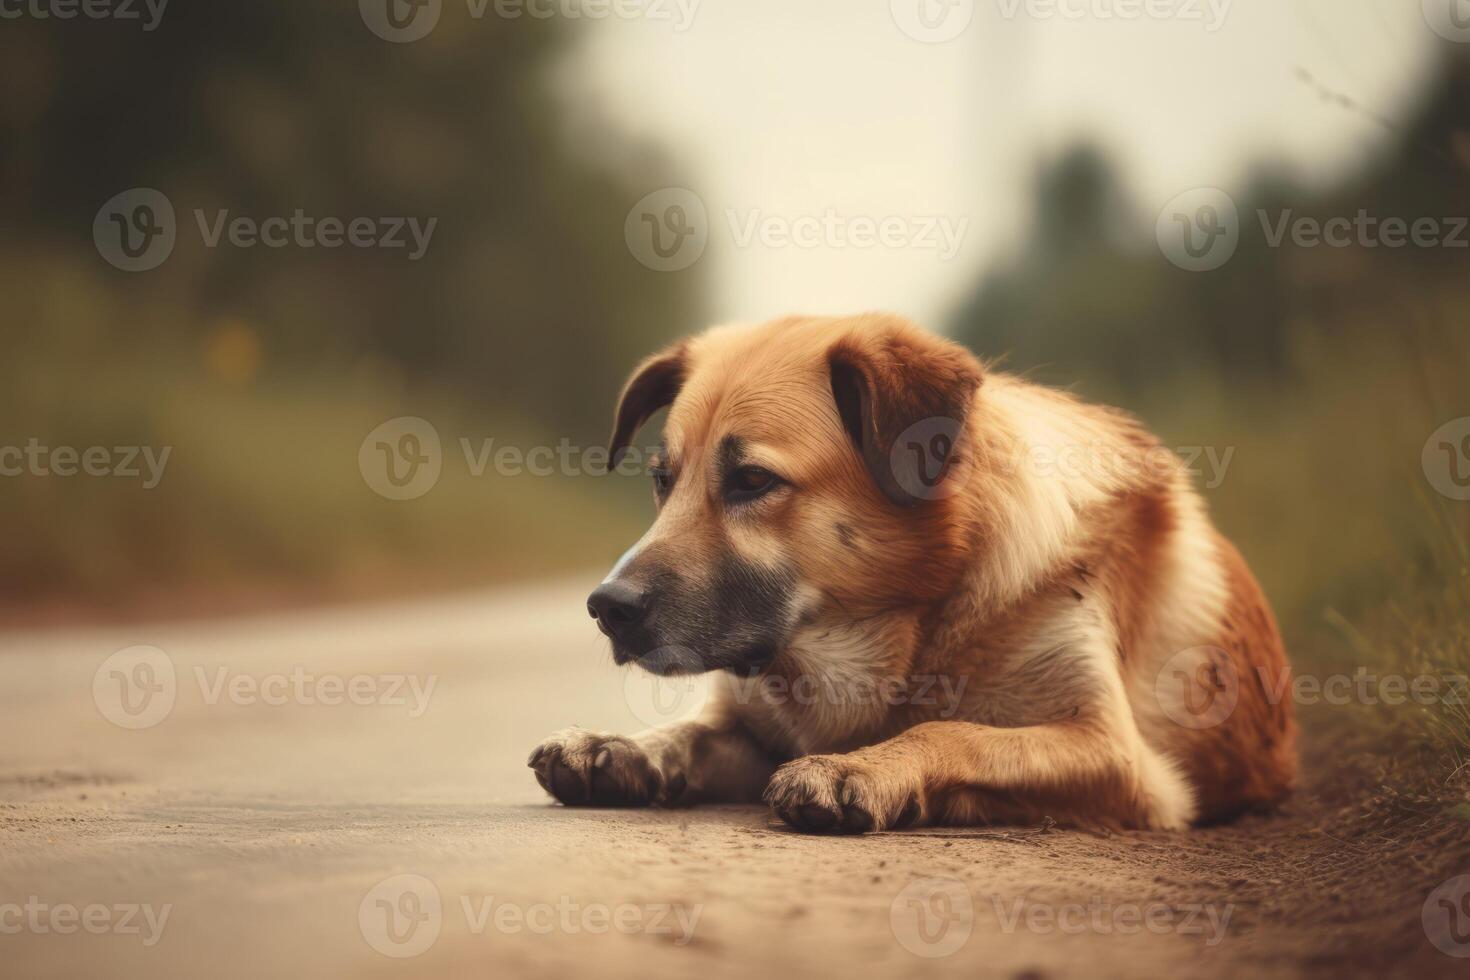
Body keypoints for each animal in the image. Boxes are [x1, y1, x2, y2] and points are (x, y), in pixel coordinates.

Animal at [529, 314, 1299, 834]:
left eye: (751, 480)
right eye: (662, 480)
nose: (606, 607)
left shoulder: (1116, 755)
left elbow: (953, 731)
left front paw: (859, 767)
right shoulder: (746, 724)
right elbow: (690, 731)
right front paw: (618, 745)